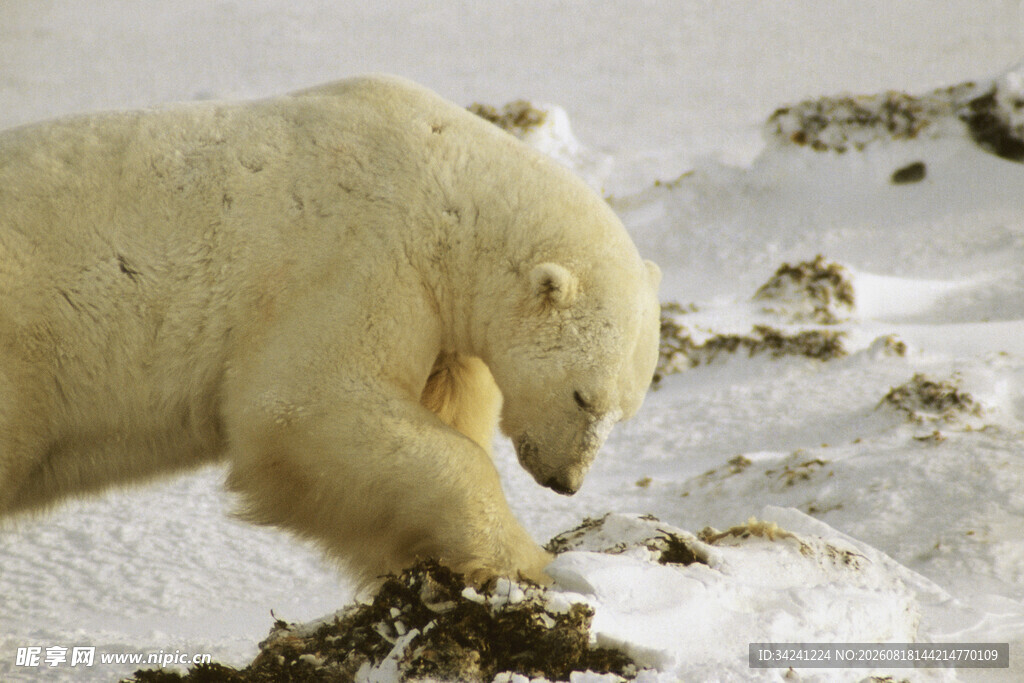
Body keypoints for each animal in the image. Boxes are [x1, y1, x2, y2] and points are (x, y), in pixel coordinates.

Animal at [0, 75, 661, 586]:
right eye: (582, 395)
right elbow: (302, 407)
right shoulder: (358, 257)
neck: (452, 189)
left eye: (624, 412)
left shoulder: (436, 319)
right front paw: (532, 564)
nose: (566, 482)